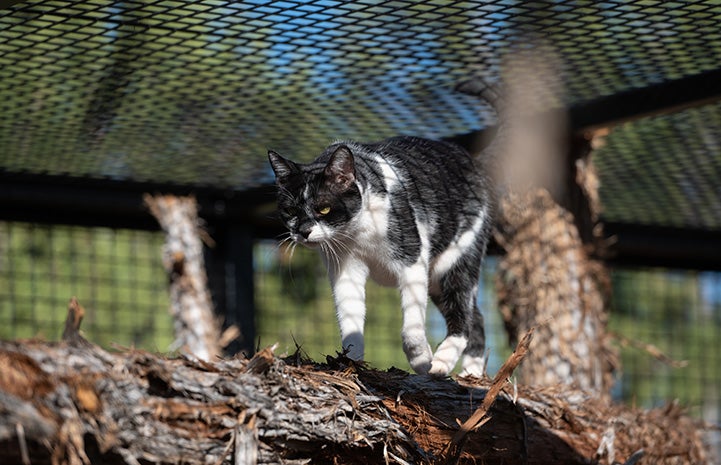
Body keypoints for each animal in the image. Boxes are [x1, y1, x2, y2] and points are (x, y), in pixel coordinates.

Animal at [268, 136, 492, 376]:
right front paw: (351, 361)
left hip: (457, 257)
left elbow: (411, 329)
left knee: (464, 316)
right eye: (291, 211)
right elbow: (350, 320)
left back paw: (443, 363)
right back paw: (471, 373)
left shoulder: (412, 258)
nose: (303, 231)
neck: (358, 233)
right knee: (477, 319)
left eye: (324, 209)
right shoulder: (344, 270)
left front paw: (422, 360)